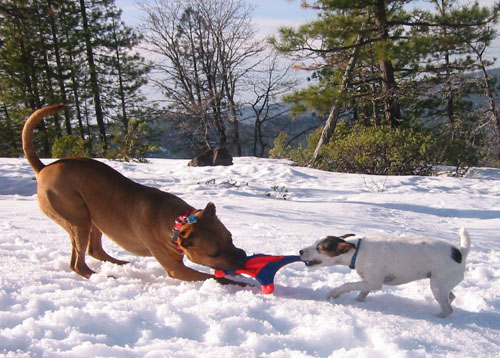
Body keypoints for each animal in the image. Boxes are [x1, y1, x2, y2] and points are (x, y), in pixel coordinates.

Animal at [22, 103, 247, 282]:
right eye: (214, 254)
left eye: (230, 237)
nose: (243, 257)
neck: (178, 222)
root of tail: (43, 168)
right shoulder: (176, 269)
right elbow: (218, 279)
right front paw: (241, 285)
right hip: (77, 218)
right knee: (77, 263)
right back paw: (99, 276)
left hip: (93, 218)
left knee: (94, 250)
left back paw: (121, 264)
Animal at [298, 228, 470, 318]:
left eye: (320, 248)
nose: (300, 251)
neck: (357, 251)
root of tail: (460, 252)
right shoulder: (369, 281)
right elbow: (362, 292)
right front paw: (357, 301)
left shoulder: (374, 282)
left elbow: (347, 285)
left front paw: (334, 294)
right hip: (441, 285)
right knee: (451, 297)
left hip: (437, 285)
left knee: (448, 309)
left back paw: (438, 317)